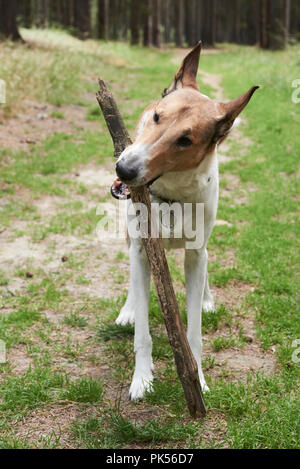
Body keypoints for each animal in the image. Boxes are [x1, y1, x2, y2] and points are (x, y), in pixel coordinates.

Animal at [112, 43, 258, 398]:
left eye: (185, 140)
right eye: (156, 117)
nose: (124, 169)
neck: (170, 195)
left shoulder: (195, 253)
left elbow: (194, 333)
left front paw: (199, 380)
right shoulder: (142, 249)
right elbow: (142, 333)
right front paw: (142, 379)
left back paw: (207, 299)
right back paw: (128, 309)